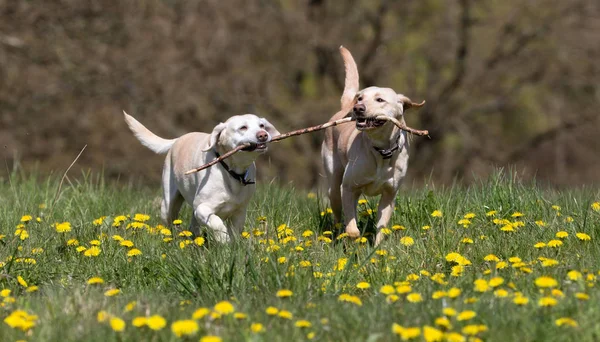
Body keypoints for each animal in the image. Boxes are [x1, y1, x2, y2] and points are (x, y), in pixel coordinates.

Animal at [123, 111, 282, 240]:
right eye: (243, 127)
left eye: (262, 125)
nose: (263, 135)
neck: (231, 171)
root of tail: (178, 139)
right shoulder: (202, 208)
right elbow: (217, 223)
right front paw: (223, 239)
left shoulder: (240, 212)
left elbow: (235, 232)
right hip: (168, 205)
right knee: (170, 222)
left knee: (193, 228)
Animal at [322, 47, 424, 246]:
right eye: (360, 98)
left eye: (380, 100)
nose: (358, 108)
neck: (381, 149)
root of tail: (344, 107)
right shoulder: (348, 187)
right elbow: (352, 227)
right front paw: (354, 236)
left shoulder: (389, 195)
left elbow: (381, 226)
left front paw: (377, 249)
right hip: (335, 184)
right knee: (338, 212)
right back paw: (339, 235)